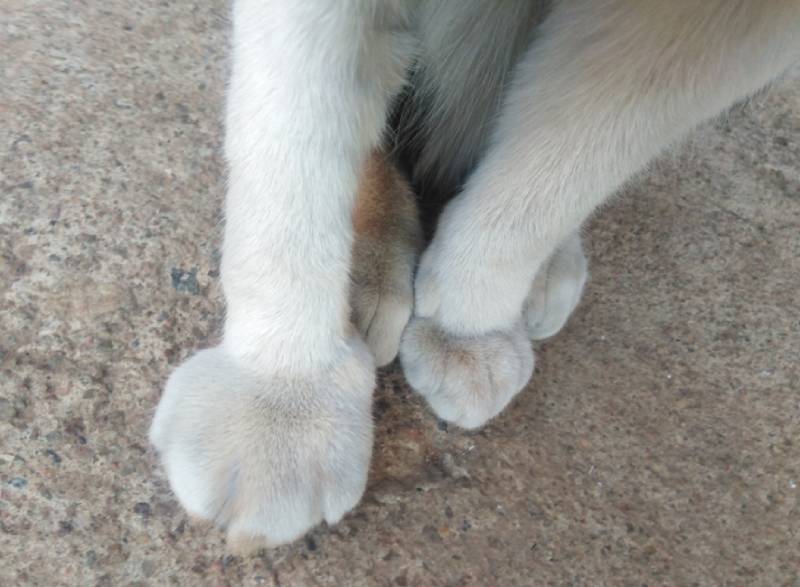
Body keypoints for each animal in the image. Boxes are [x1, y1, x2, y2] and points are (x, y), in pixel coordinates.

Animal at [148, 1, 800, 552]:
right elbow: (295, 145)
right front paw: (282, 401)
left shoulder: (716, 32)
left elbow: (561, 169)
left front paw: (470, 328)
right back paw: (370, 264)